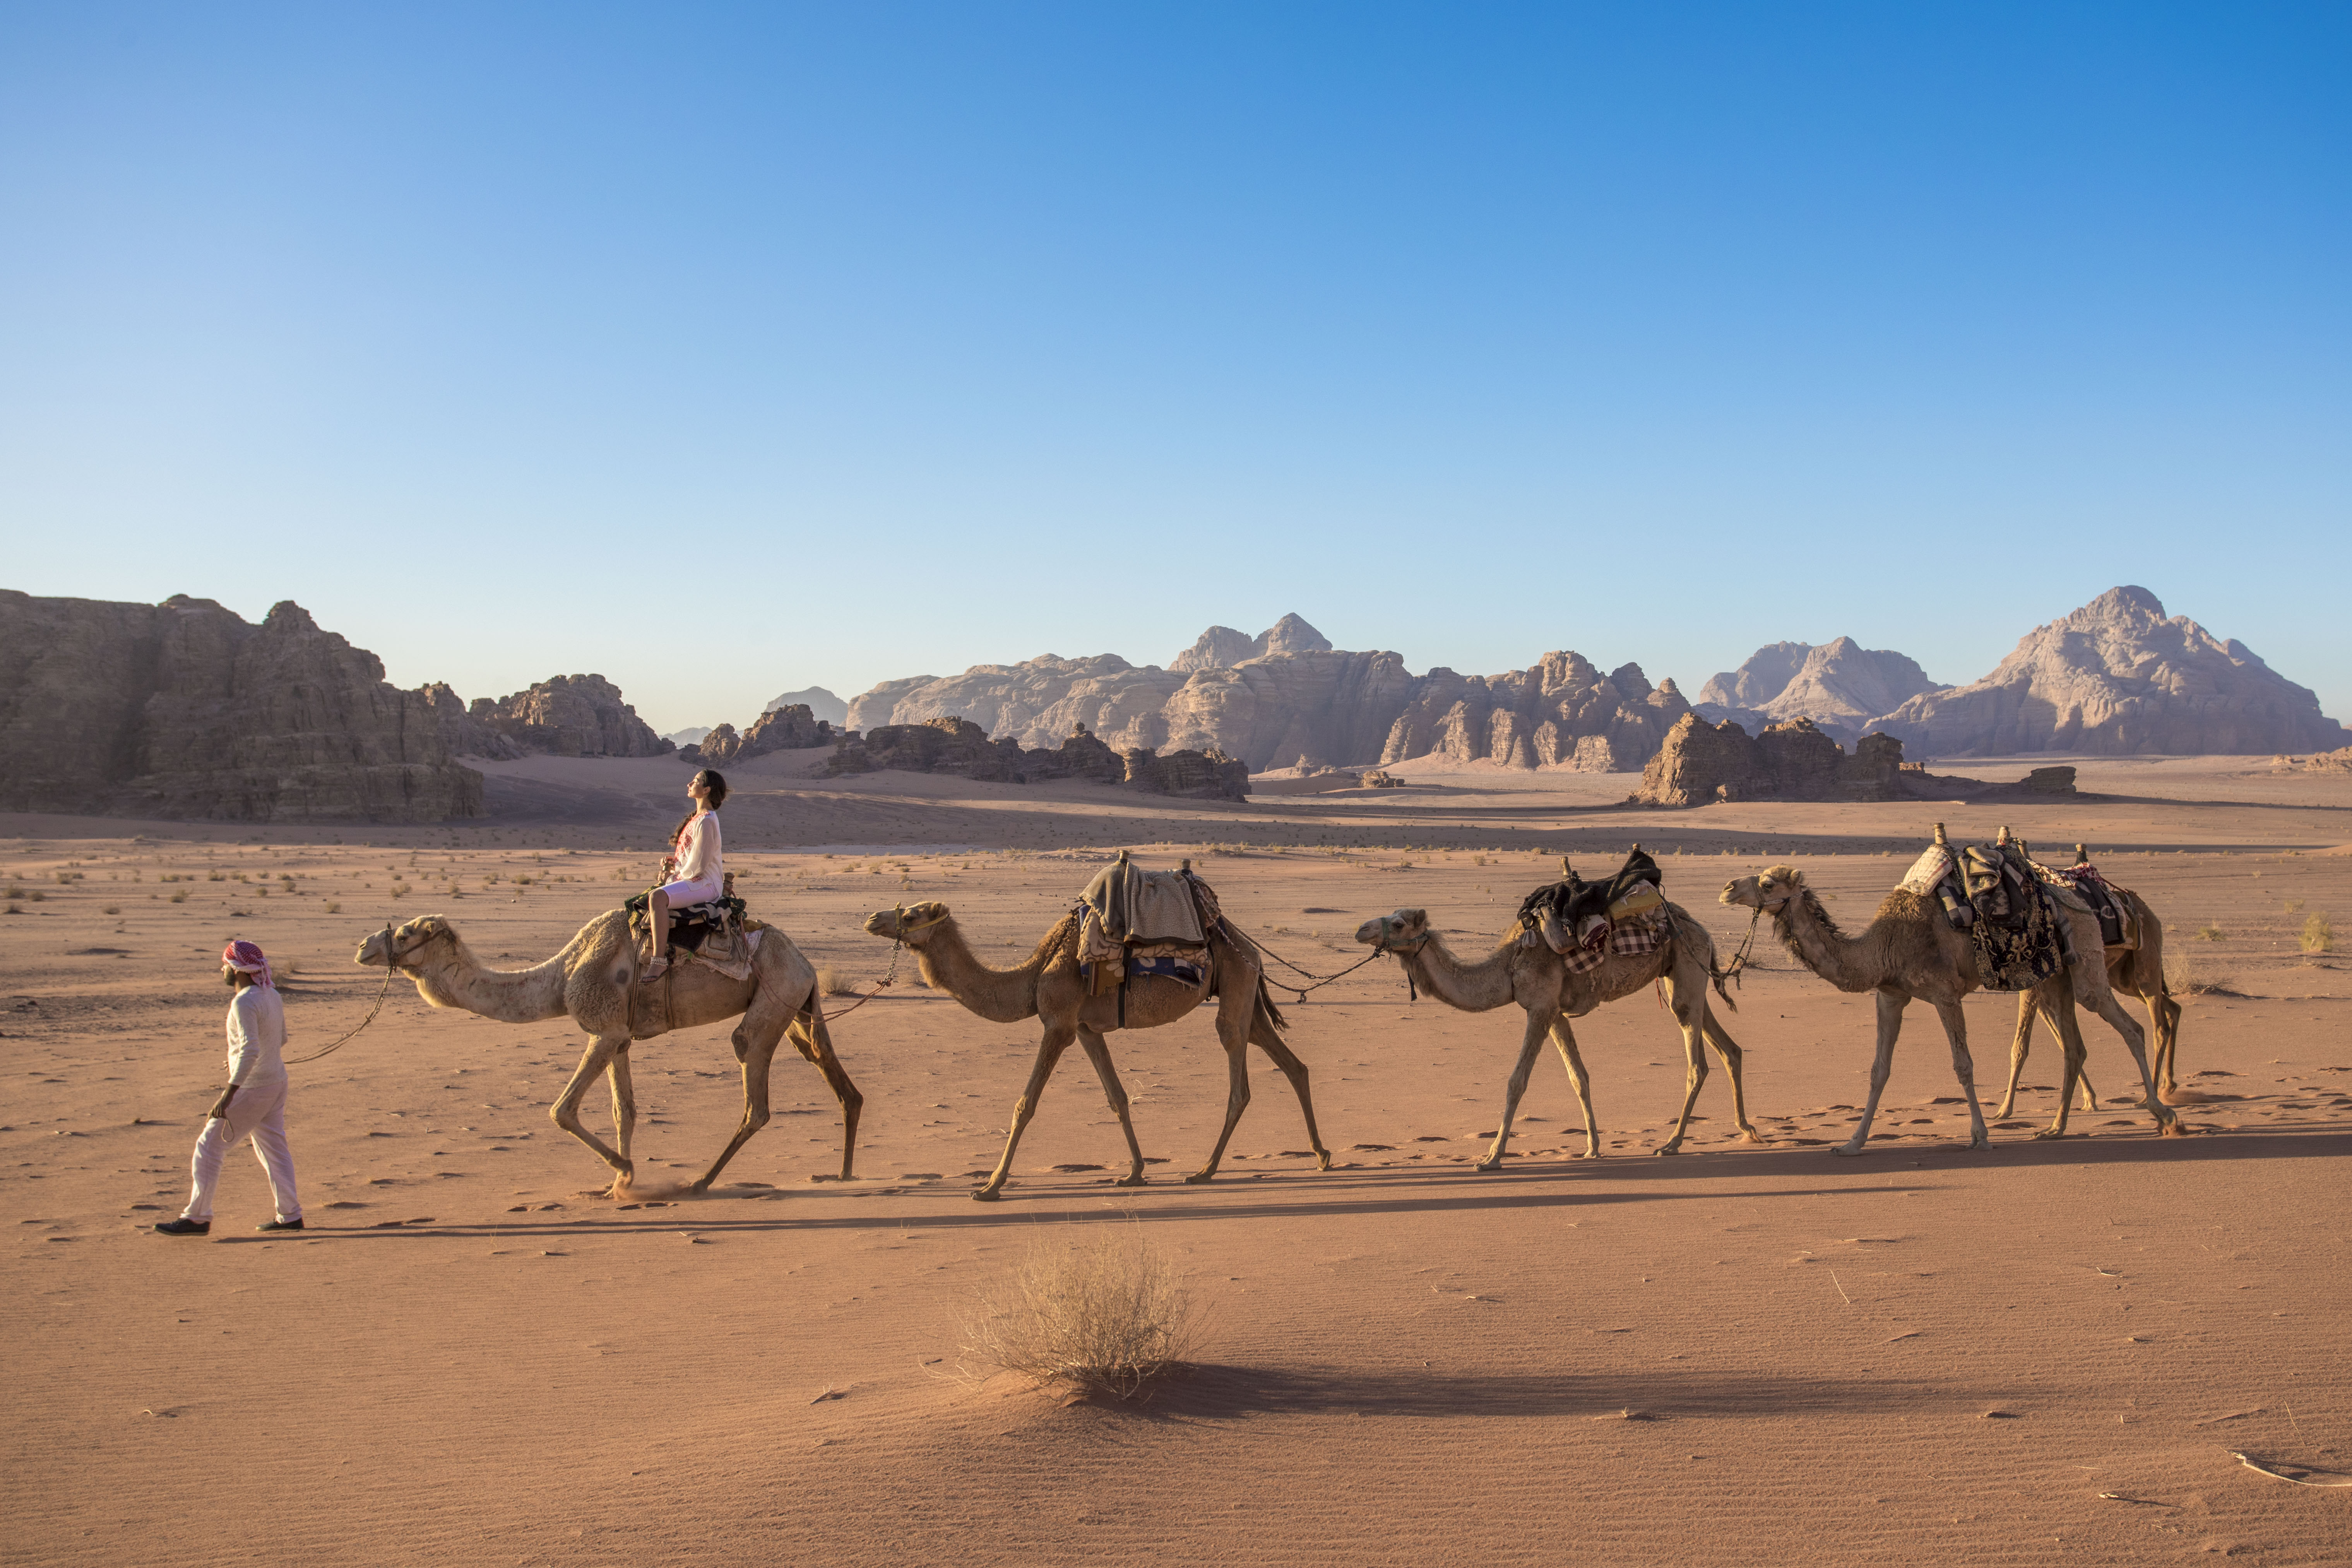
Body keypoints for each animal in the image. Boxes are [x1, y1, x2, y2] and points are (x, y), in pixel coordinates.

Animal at [355, 911, 861, 1197]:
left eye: (405, 934)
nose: (363, 946)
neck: (562, 977)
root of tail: (806, 963)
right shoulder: (620, 1036)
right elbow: (625, 1111)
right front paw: (617, 1183)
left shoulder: (602, 1029)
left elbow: (561, 1110)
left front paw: (626, 1171)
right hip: (796, 1006)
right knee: (831, 1072)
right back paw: (842, 1173)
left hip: (774, 1001)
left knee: (754, 1089)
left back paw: (701, 1181)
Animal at [861, 900, 1330, 1201]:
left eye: (911, 913)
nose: (870, 918)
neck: (1034, 974)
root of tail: (1249, 946)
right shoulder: (1086, 1029)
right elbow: (1117, 1097)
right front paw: (1135, 1173)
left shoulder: (1059, 1023)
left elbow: (1025, 1104)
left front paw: (990, 1186)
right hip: (1245, 992)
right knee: (1292, 1063)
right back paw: (1322, 1155)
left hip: (1234, 986)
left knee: (1238, 1076)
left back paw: (1205, 1171)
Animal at [1354, 903, 1761, 1169]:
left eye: (1399, 923)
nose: (1361, 930)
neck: (1509, 967)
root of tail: (1703, 932)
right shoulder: (1555, 1013)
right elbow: (1578, 1077)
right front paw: (1592, 1147)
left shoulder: (1540, 1008)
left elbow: (1517, 1082)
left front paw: (1492, 1157)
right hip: (1684, 975)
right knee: (1730, 1048)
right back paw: (1747, 1129)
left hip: (1687, 971)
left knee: (1697, 1064)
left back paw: (1673, 1144)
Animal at [1718, 863, 2182, 1153]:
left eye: (1768, 884)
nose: (1726, 888)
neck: (1883, 947)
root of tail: (2074, 897)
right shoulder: (1891, 995)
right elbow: (1878, 1070)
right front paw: (1851, 1143)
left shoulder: (1944, 993)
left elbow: (1963, 1064)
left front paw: (1981, 1136)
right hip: (2053, 977)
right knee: (2075, 1046)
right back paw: (2055, 1129)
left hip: (2087, 961)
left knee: (2132, 1026)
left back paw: (2164, 1114)